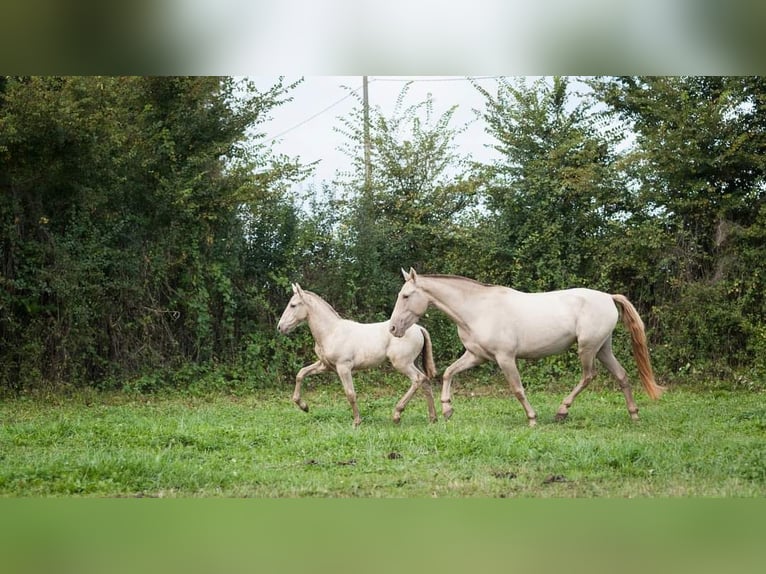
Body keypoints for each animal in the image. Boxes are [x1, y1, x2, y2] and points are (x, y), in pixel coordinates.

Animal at [280, 284, 440, 428]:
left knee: (417, 379)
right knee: (425, 382)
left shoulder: (343, 367)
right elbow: (301, 374)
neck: (331, 332)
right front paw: (304, 406)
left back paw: (397, 414)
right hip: (413, 362)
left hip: (402, 363)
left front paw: (356, 422)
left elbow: (350, 393)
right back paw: (433, 418)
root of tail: (419, 328)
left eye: (293, 305)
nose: (280, 327)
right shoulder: (325, 365)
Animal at [390, 270, 664, 428]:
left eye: (406, 296)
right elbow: (449, 372)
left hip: (588, 349)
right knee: (622, 376)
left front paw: (532, 419)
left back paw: (562, 412)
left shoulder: (505, 358)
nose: (393, 328)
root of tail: (608, 297)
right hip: (602, 348)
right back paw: (634, 415)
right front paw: (447, 410)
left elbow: (517, 389)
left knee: (589, 376)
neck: (477, 309)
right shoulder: (477, 356)